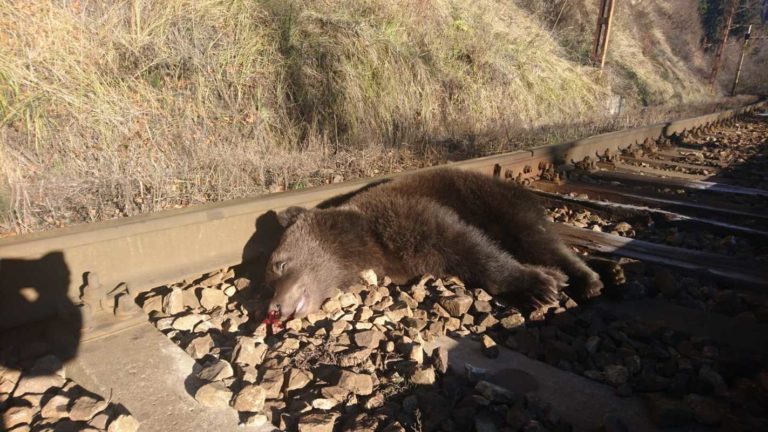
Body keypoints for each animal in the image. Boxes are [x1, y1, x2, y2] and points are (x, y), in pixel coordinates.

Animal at [268, 167, 604, 318]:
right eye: (267, 278)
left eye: (278, 264)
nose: (275, 308)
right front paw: (545, 281)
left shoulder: (407, 217)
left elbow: (468, 246)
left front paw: (541, 283)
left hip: (499, 204)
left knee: (537, 239)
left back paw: (586, 280)